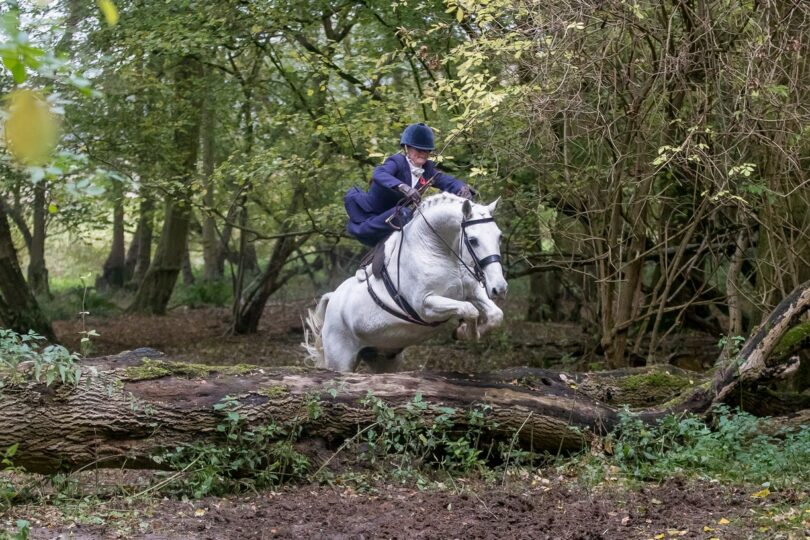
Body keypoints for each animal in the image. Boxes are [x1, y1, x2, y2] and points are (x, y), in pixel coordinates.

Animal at [303, 193, 507, 372]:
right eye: (473, 240)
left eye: (499, 236)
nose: (500, 288)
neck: (437, 250)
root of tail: (333, 298)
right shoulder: (425, 305)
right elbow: (469, 309)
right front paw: (465, 331)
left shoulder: (473, 290)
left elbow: (496, 315)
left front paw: (466, 330)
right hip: (340, 360)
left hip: (384, 359)